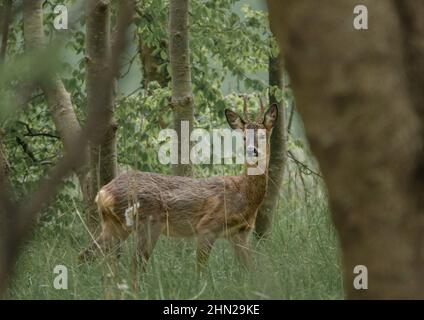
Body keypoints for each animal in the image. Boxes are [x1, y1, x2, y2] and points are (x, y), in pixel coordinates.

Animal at [79, 97, 278, 270]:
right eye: (243, 137)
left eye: (263, 135)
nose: (252, 150)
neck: (243, 193)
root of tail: (103, 193)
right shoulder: (207, 226)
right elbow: (200, 271)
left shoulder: (239, 234)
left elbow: (250, 270)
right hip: (148, 222)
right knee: (135, 266)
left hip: (115, 226)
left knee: (85, 255)